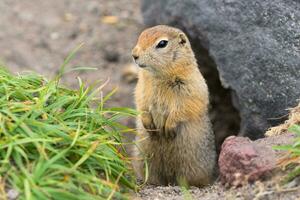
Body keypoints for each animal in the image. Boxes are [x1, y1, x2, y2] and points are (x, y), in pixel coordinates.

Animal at [131, 25, 216, 188]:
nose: (134, 55)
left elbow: (185, 106)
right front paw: (148, 123)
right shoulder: (142, 85)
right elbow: (141, 101)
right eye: (141, 35)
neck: (159, 76)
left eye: (162, 43)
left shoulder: (190, 86)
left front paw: (169, 127)